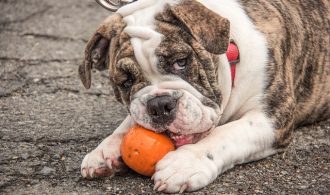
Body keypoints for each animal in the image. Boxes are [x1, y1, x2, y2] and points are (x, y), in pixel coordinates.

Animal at [80, 0, 330, 192]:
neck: (232, 51)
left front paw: (185, 163)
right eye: (126, 83)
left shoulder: (272, 117)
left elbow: (225, 134)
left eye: (181, 62)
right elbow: (128, 121)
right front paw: (105, 149)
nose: (159, 105)